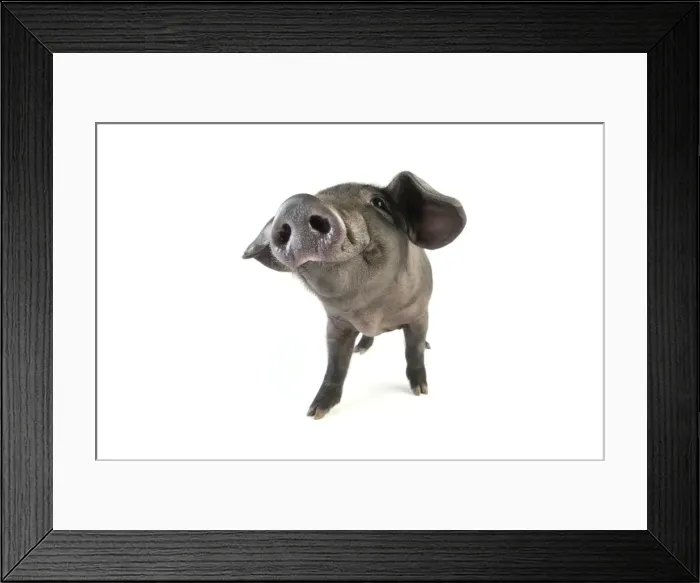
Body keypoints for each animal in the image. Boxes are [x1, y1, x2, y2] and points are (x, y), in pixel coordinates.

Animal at [242, 171, 467, 419]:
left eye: (379, 202)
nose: (297, 204)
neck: (371, 312)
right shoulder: (336, 324)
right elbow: (335, 365)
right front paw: (315, 412)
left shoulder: (418, 313)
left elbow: (413, 350)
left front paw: (420, 390)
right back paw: (361, 348)